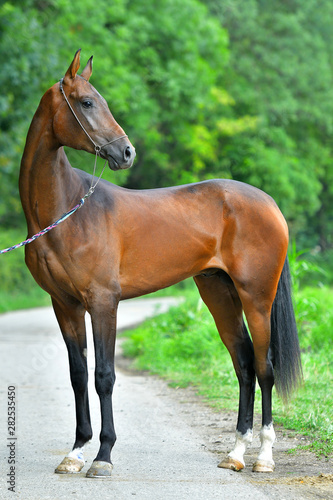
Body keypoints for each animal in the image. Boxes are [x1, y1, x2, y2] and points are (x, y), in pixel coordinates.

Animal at [19, 49, 302, 476]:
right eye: (86, 102)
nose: (126, 152)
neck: (67, 210)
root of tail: (269, 203)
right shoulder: (64, 305)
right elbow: (78, 376)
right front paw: (76, 451)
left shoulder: (103, 303)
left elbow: (104, 376)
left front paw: (103, 456)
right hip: (219, 294)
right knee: (244, 364)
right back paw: (236, 453)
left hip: (256, 299)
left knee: (265, 366)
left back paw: (264, 458)